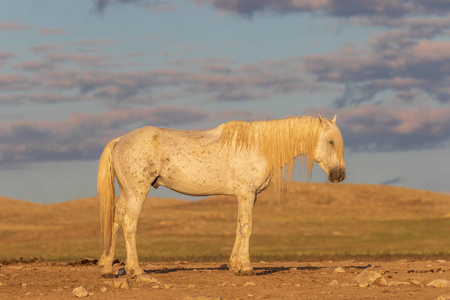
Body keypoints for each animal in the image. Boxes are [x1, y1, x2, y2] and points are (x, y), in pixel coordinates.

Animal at [97, 114, 344, 276]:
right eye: (330, 141)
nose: (339, 175)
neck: (258, 146)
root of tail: (120, 140)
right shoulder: (246, 193)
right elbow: (247, 228)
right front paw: (246, 267)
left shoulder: (247, 196)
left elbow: (239, 226)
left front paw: (235, 265)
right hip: (137, 192)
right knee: (129, 223)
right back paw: (136, 270)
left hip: (127, 192)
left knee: (116, 221)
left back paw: (108, 268)